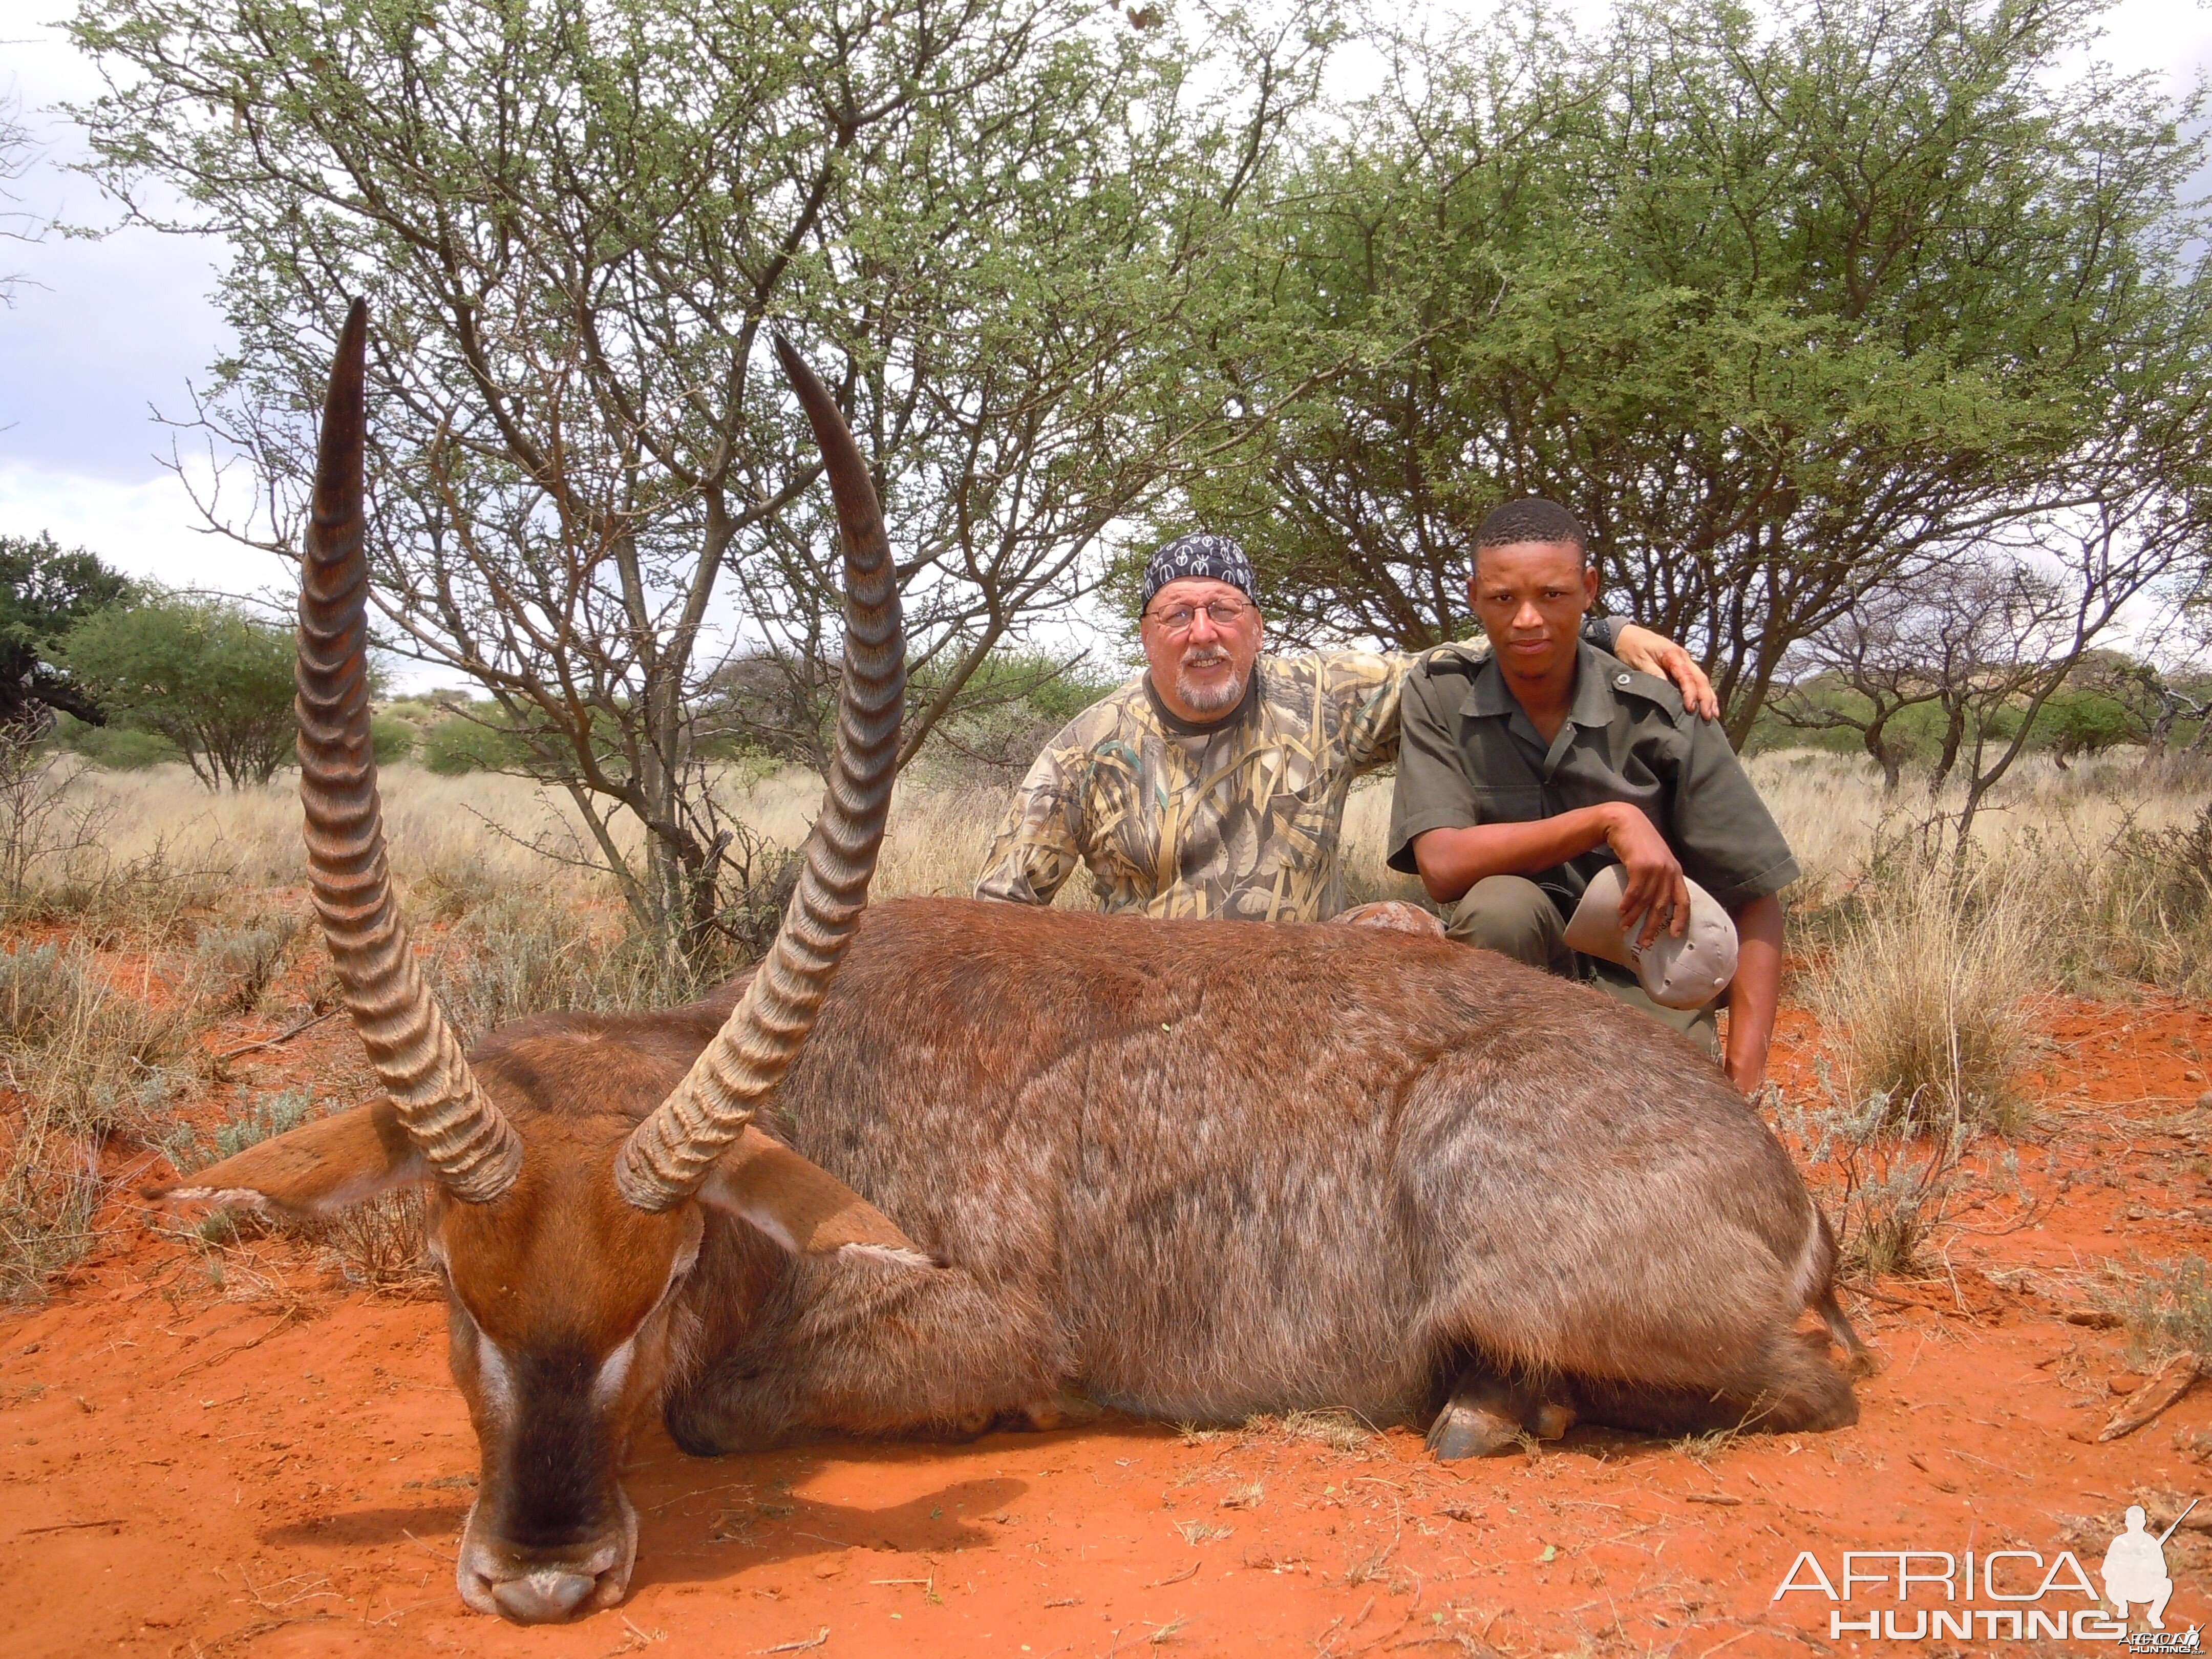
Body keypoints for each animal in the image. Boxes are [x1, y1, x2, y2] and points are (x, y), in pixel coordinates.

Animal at [151, 309, 1867, 1628]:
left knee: (1804, 1384)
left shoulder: (984, 1324)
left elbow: (712, 1407)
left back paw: (1496, 1405)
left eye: (668, 1277)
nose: (542, 1580)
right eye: (454, 1283)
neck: (814, 1087)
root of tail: (1771, 1164)